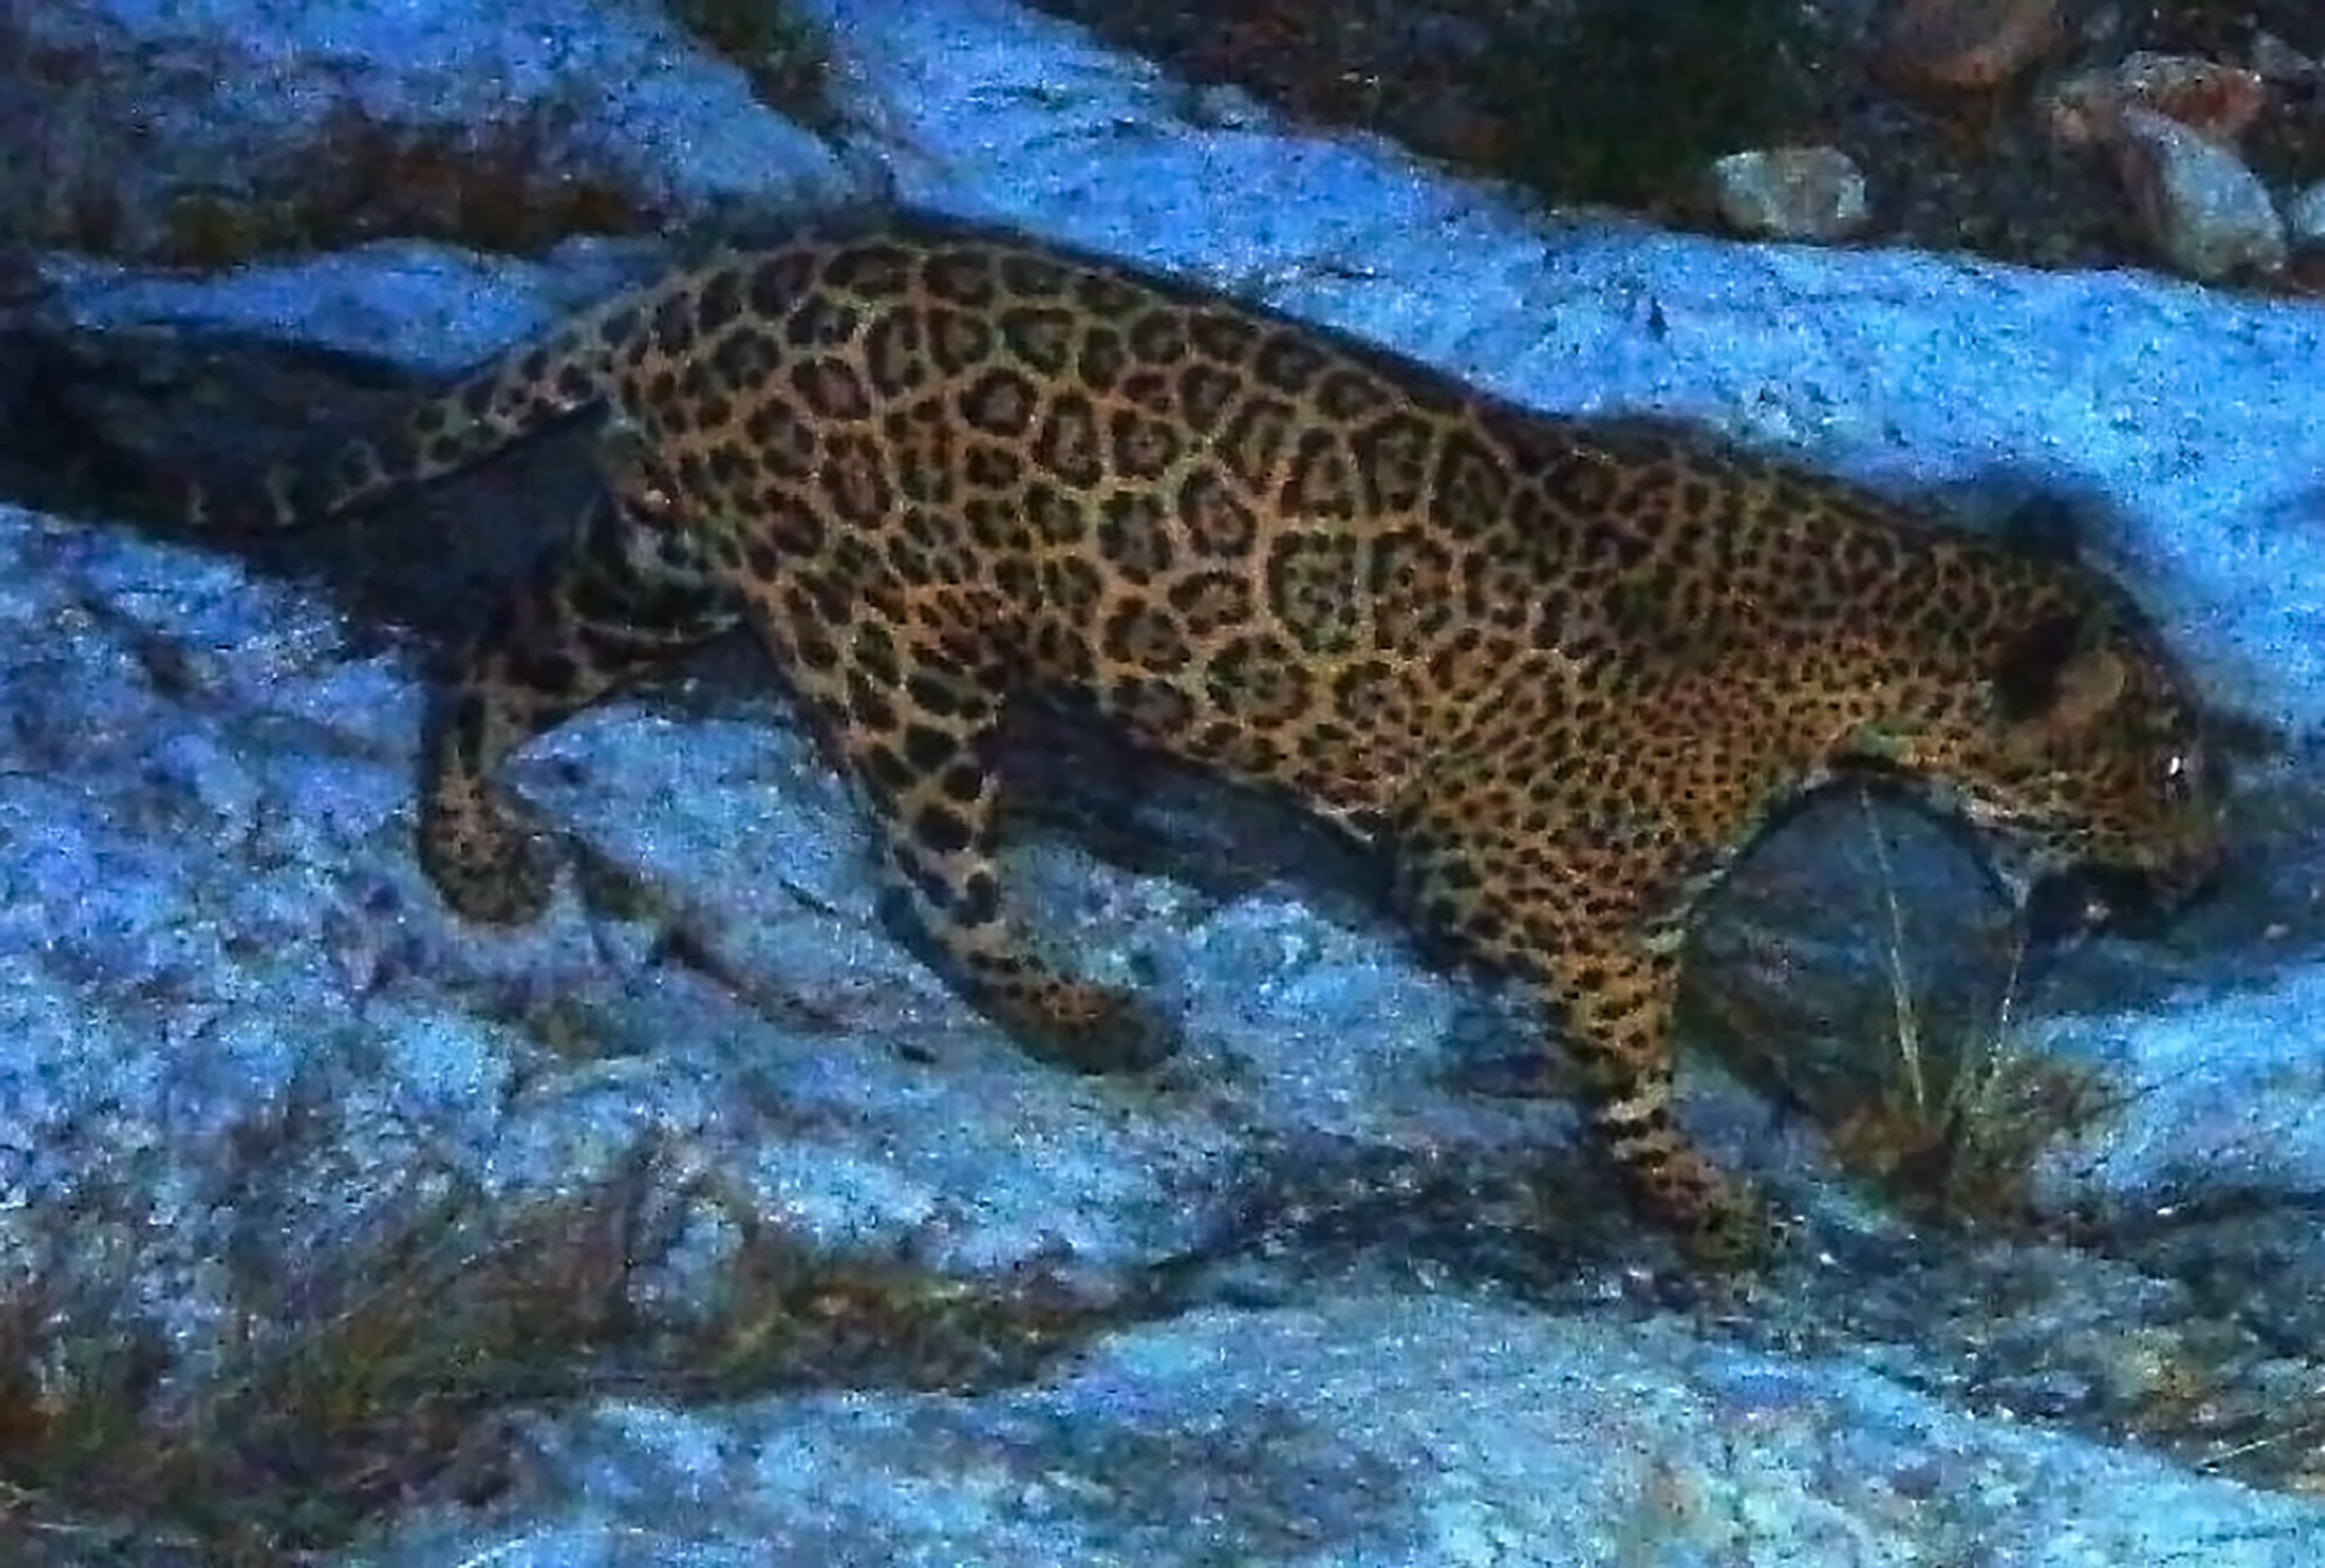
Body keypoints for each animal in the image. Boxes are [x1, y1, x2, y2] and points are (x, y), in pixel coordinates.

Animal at [56, 208, 2224, 1264]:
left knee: (491, 647)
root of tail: (710, 283)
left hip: (665, 567)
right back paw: (1077, 1011)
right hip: (899, 645)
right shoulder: (1536, 868)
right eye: (2177, 763)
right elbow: (1628, 1045)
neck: (1874, 656)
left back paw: (471, 846)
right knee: (932, 871)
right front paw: (1694, 1197)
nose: (2209, 875)